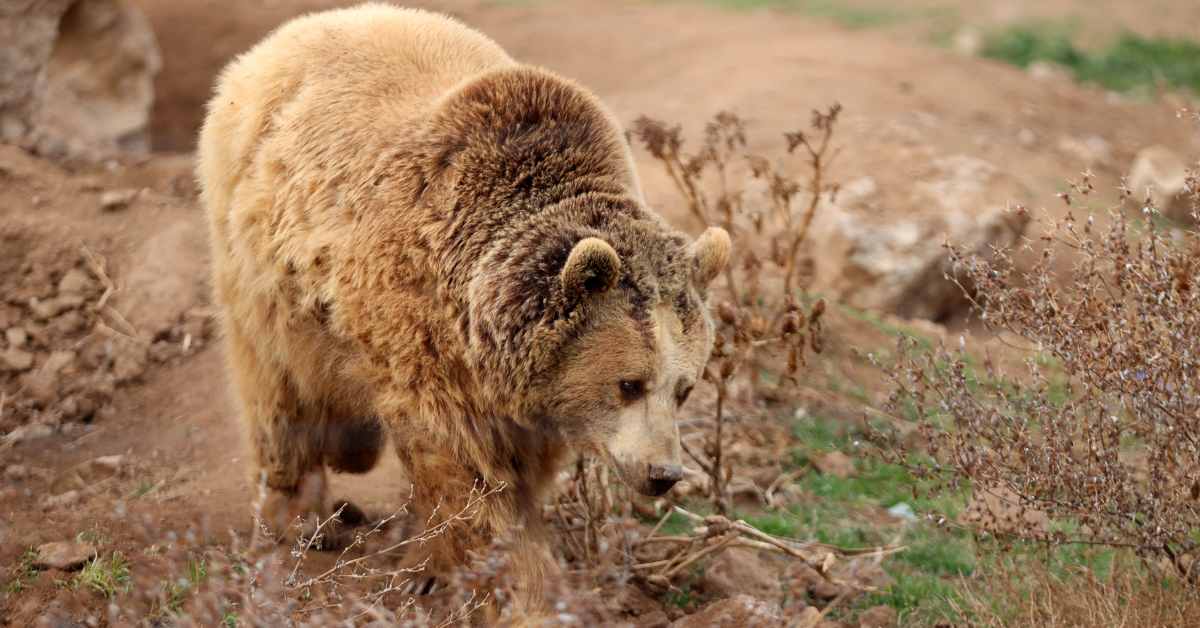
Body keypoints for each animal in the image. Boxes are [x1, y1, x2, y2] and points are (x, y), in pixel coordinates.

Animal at [194, 1, 729, 600]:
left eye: (685, 387)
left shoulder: (530, 390)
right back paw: (303, 511)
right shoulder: (420, 323)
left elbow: (520, 465)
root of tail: (291, 33)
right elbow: (463, 466)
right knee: (276, 386)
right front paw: (501, 576)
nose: (663, 474)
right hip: (258, 256)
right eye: (629, 383)